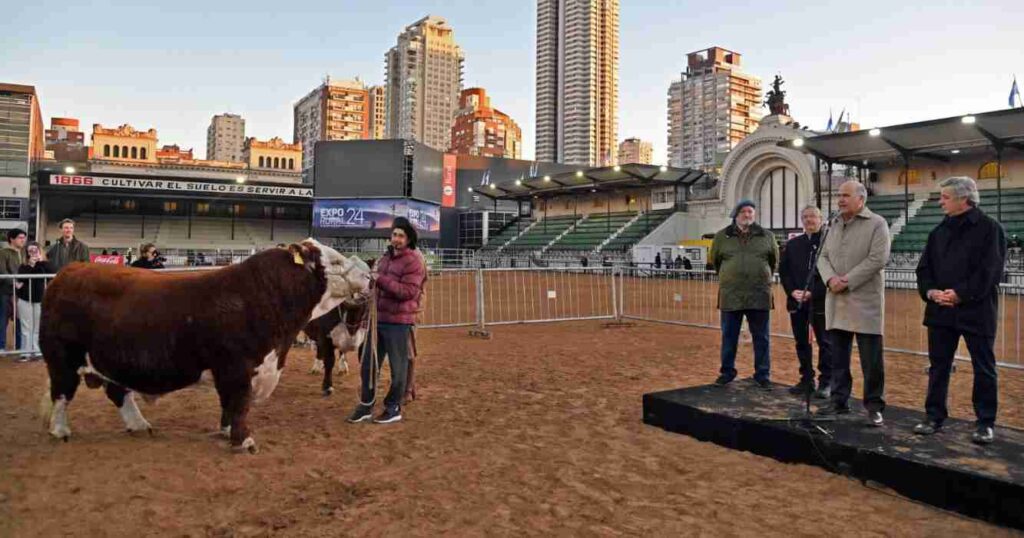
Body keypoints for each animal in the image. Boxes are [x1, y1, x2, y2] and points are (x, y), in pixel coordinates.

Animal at [38, 238, 372, 452]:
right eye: (336, 260)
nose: (369, 274)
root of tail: (68, 273)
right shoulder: (237, 367)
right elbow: (239, 403)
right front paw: (243, 440)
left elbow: (230, 404)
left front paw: (226, 431)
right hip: (62, 359)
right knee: (62, 394)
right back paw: (60, 430)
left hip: (110, 361)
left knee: (118, 392)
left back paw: (139, 424)